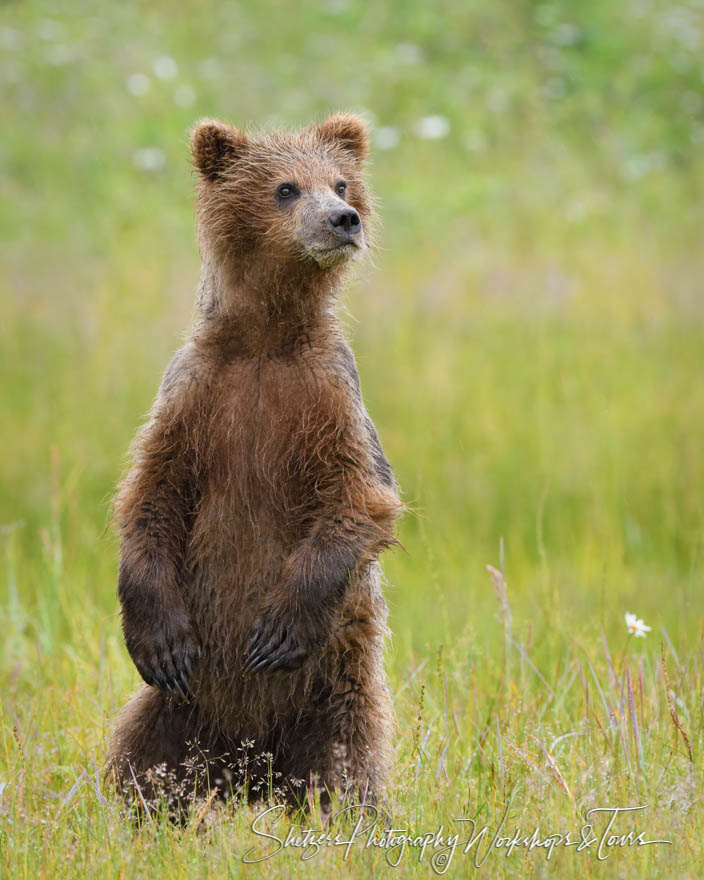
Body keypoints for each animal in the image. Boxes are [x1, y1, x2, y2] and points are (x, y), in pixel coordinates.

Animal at [105, 115, 402, 812]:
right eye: (286, 188)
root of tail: (248, 771)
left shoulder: (327, 398)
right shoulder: (196, 398)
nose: (344, 219)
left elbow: (360, 498)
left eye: (340, 182)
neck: (266, 337)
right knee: (141, 759)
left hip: (335, 695)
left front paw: (279, 631)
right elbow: (149, 495)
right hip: (174, 714)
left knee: (348, 764)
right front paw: (159, 639)